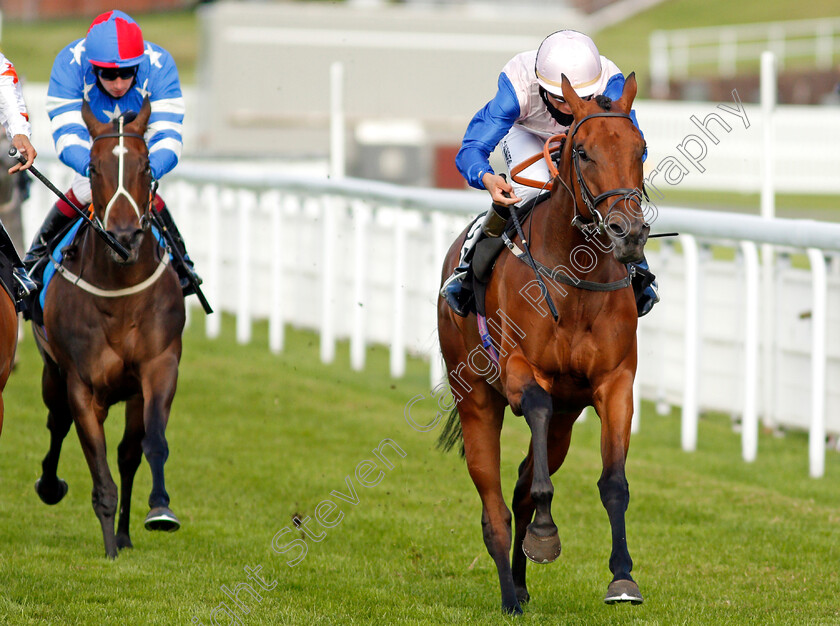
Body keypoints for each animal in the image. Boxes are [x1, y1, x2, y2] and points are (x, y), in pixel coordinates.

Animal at [32, 100, 185, 560]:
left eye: (146, 164)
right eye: (94, 167)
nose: (124, 237)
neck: (119, 296)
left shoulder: (159, 367)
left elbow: (150, 444)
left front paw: (159, 511)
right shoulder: (81, 384)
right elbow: (99, 473)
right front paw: (109, 554)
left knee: (129, 453)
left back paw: (126, 532)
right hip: (52, 373)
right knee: (57, 423)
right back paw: (50, 486)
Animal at [440, 74, 648, 616]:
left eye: (640, 149)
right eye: (584, 152)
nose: (628, 233)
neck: (575, 283)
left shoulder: (615, 382)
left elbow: (614, 481)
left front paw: (622, 577)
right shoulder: (519, 369)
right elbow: (534, 405)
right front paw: (546, 534)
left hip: (565, 423)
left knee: (518, 489)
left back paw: (521, 582)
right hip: (475, 400)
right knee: (495, 506)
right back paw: (509, 596)